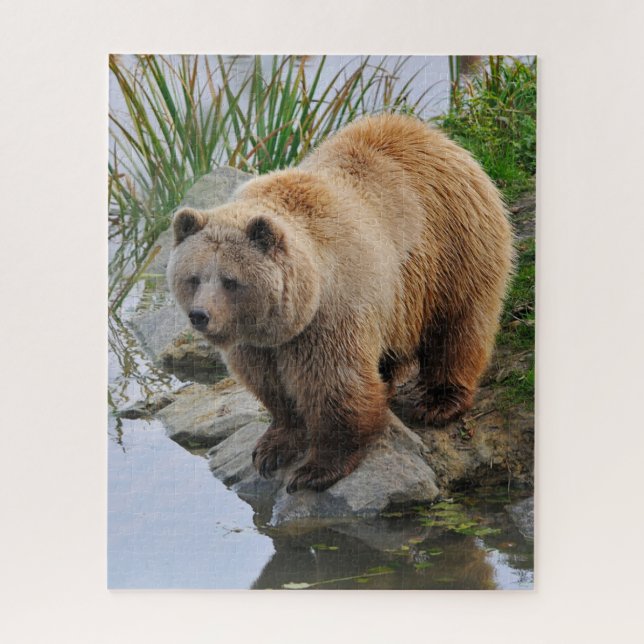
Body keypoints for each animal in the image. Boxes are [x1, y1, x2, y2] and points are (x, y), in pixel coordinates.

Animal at [167, 114, 513, 494]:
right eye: (194, 277)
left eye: (230, 280)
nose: (201, 315)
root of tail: (432, 134)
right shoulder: (258, 343)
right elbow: (272, 387)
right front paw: (272, 448)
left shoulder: (330, 315)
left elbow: (335, 386)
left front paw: (316, 469)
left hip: (451, 245)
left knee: (457, 326)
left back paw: (440, 401)